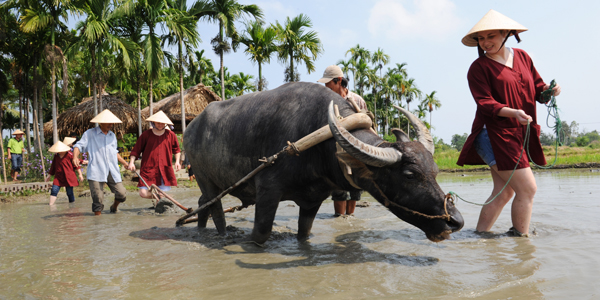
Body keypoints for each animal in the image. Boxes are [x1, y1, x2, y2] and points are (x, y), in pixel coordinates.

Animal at [183, 81, 464, 244]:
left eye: (435, 172)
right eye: (409, 175)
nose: (456, 221)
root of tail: (190, 128)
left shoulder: (314, 199)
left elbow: (304, 233)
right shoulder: (268, 191)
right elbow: (260, 234)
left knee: (202, 205)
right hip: (204, 178)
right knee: (216, 209)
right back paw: (220, 234)